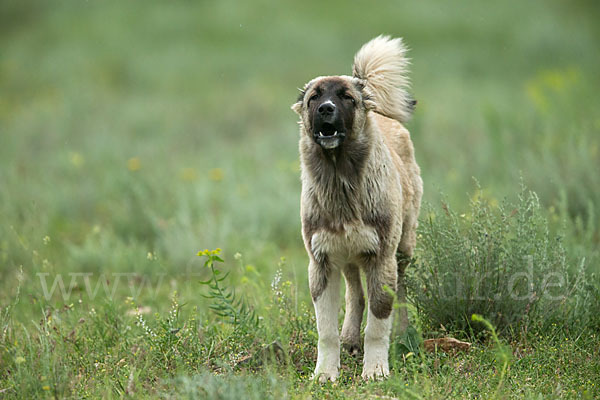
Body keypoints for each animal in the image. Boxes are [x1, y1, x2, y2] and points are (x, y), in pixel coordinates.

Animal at [290, 35, 422, 382]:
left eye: (347, 98)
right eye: (314, 97)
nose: (326, 109)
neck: (341, 186)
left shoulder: (381, 261)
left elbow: (378, 324)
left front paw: (375, 370)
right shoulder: (321, 262)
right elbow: (326, 330)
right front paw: (325, 373)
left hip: (403, 249)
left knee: (402, 293)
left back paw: (403, 335)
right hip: (348, 257)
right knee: (355, 295)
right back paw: (350, 337)